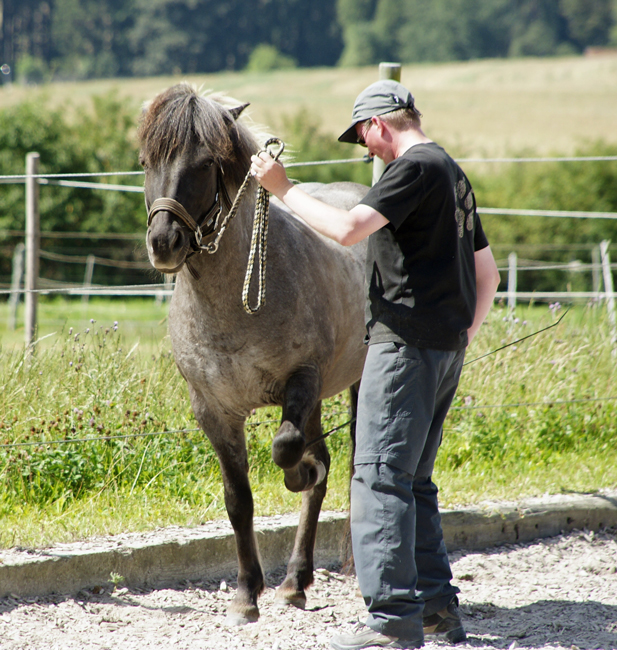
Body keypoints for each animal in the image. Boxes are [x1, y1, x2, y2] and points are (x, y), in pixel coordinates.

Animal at [140, 82, 368, 624]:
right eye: (144, 161)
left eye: (205, 163)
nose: (163, 242)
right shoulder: (213, 411)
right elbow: (238, 500)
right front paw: (247, 594)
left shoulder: (301, 380)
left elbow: (288, 451)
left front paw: (299, 473)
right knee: (324, 462)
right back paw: (294, 581)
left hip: (352, 380)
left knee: (340, 463)